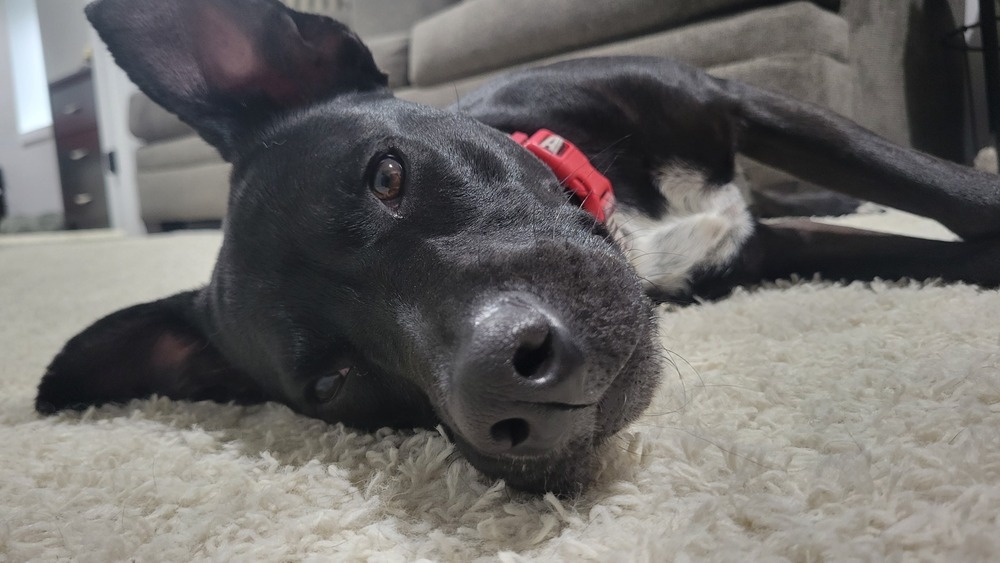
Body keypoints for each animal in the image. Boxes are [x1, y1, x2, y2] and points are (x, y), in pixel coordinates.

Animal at [35, 0, 996, 494]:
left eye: (388, 175)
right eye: (333, 384)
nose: (508, 394)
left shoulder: (741, 100)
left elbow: (931, 185)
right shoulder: (762, 254)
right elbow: (940, 250)